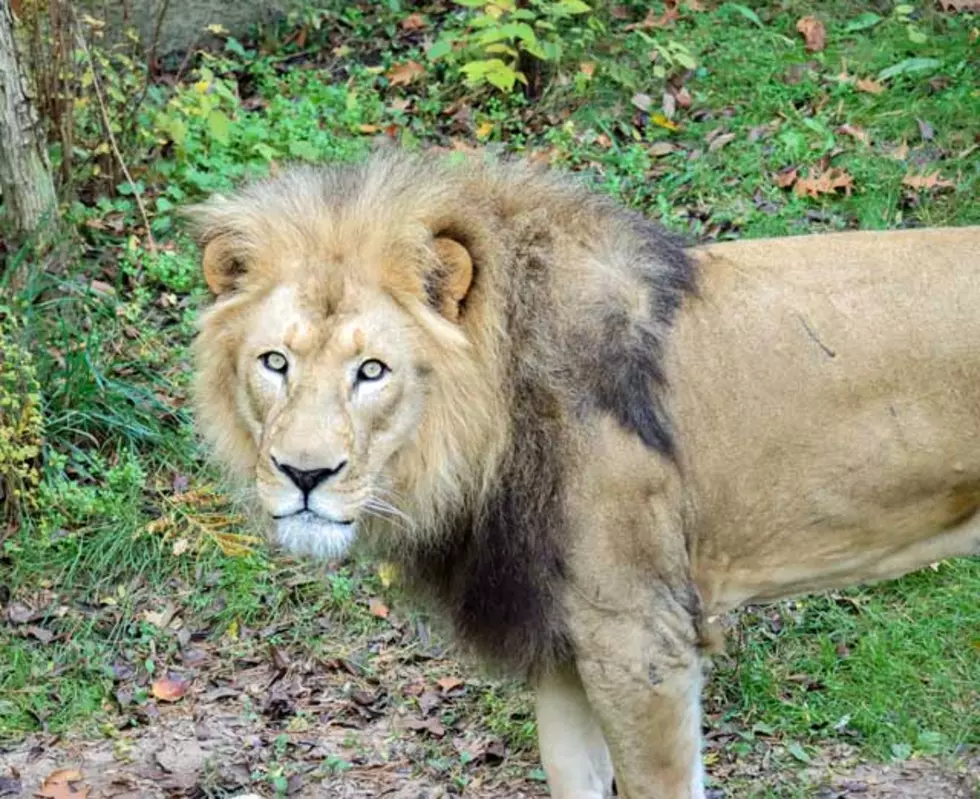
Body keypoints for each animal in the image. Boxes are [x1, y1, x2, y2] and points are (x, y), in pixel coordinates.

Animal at [188, 149, 980, 799]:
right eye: (275, 362)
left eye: (372, 371)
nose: (304, 473)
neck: (492, 432)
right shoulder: (558, 639)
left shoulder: (639, 639)